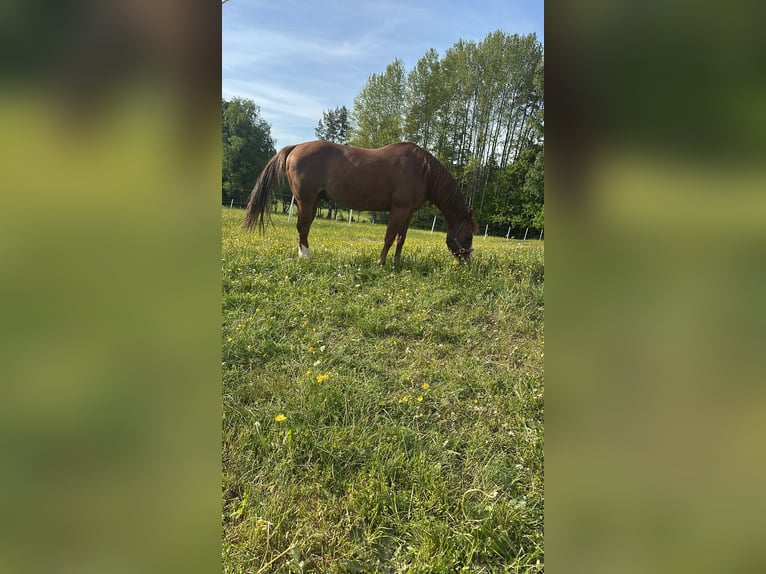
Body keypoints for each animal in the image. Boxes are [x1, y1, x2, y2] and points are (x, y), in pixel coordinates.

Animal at [242, 141, 478, 264]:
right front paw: (381, 263)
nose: (466, 262)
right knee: (302, 227)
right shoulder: (399, 210)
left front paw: (397, 262)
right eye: (468, 236)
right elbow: (389, 237)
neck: (423, 171)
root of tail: (296, 147)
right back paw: (306, 256)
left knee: (304, 227)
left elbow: (401, 238)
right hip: (306, 200)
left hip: (313, 201)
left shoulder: (409, 212)